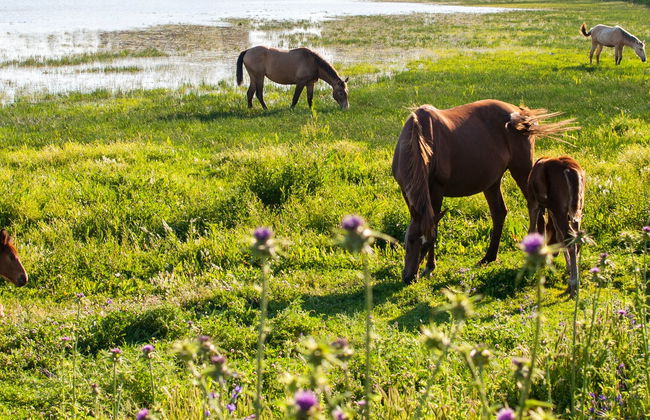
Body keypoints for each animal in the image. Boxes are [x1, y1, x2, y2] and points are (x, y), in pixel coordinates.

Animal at [392, 99, 576, 284]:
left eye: (427, 244)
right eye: (409, 240)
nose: (409, 277)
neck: (420, 137)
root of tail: (520, 113)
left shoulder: (437, 190)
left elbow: (434, 226)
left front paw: (430, 267)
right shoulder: (406, 190)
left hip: (522, 170)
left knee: (537, 210)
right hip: (492, 182)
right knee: (499, 213)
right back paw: (489, 257)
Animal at [527, 156, 585, 297]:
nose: (554, 254)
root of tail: (571, 172)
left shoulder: (534, 202)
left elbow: (532, 229)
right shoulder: (552, 208)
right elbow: (559, 236)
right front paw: (568, 267)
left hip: (560, 208)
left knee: (570, 237)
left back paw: (573, 285)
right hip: (577, 208)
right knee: (577, 237)